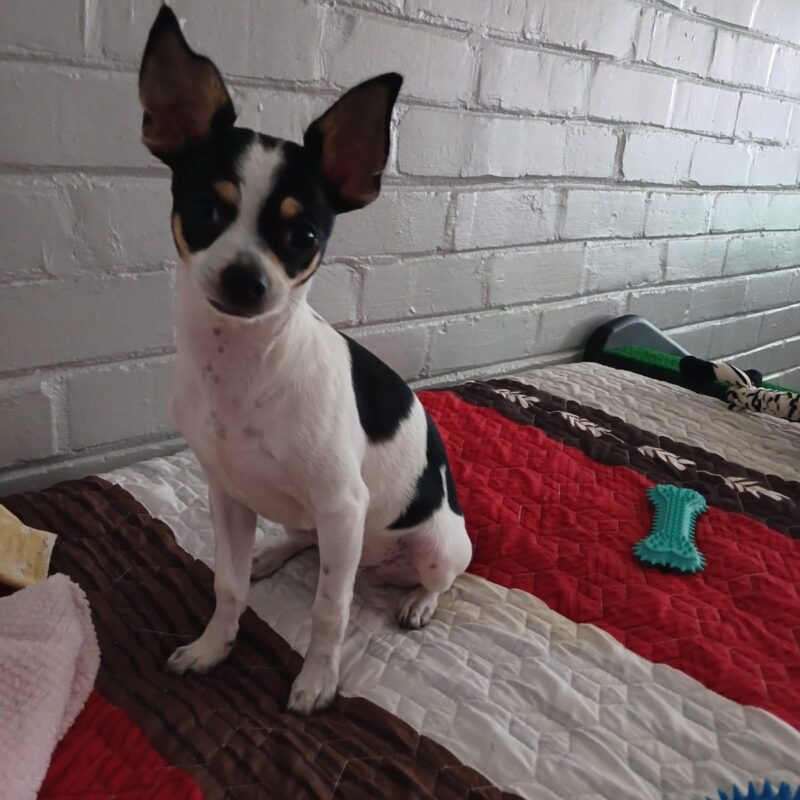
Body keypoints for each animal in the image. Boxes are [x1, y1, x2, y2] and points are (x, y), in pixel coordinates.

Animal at [138, 6, 472, 714]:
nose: (246, 279)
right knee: (302, 539)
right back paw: (275, 553)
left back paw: (419, 601)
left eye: (304, 236)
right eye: (204, 209)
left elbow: (329, 611)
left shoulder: (343, 505)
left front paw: (318, 680)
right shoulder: (228, 496)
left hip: (434, 543)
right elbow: (228, 585)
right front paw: (213, 647)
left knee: (435, 577)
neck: (243, 368)